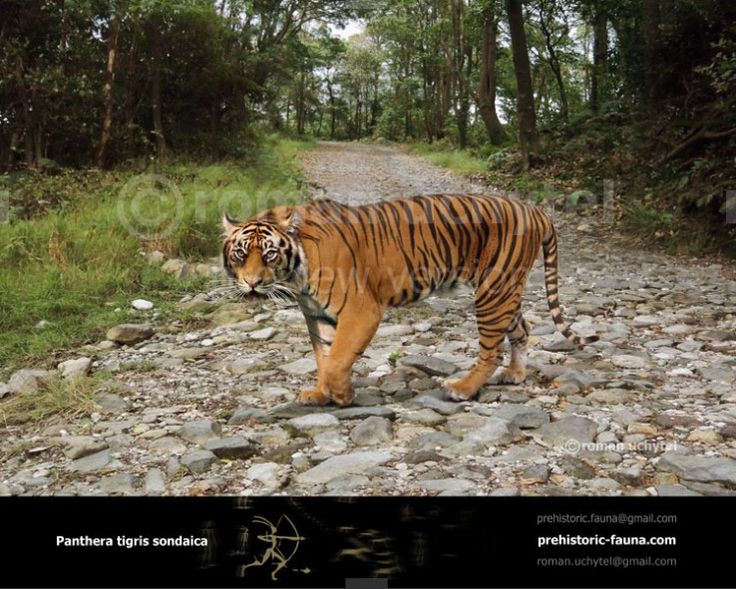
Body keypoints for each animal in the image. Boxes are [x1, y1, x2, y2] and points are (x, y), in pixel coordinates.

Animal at [223, 195, 600, 406]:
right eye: (241, 253)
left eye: (269, 253)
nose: (252, 283)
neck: (296, 272)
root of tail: (535, 210)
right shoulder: (318, 316)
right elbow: (324, 358)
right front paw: (320, 393)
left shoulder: (361, 311)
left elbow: (339, 358)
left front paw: (341, 396)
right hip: (505, 290)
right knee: (523, 328)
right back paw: (515, 374)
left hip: (492, 291)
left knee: (492, 349)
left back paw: (462, 389)